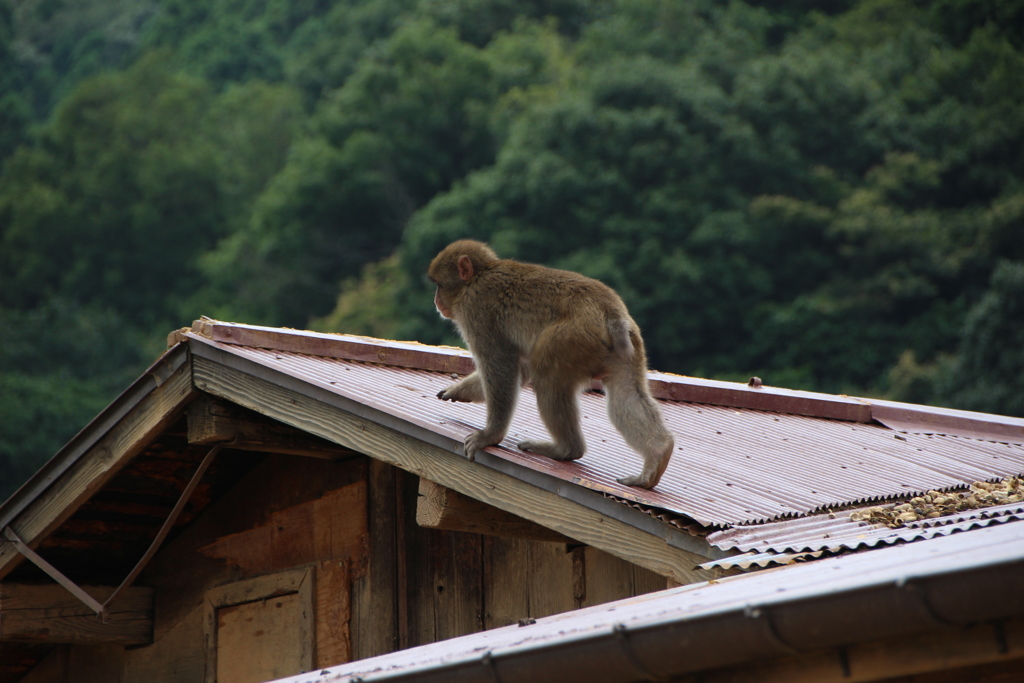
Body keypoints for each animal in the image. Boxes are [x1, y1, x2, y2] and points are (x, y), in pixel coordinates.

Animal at [428, 237, 675, 489]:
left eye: (439, 285)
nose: (436, 301)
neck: (479, 276)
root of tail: (609, 310)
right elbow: (521, 369)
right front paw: (459, 390)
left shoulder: (476, 310)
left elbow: (500, 366)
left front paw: (489, 436)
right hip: (627, 348)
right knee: (626, 393)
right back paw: (657, 456)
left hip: (570, 337)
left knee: (546, 374)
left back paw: (566, 449)